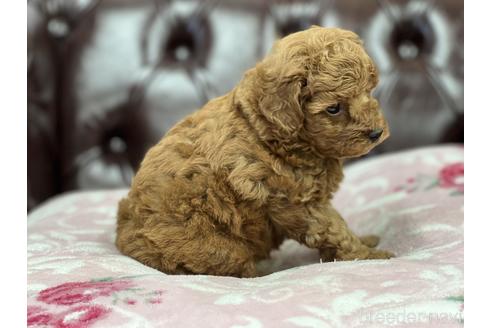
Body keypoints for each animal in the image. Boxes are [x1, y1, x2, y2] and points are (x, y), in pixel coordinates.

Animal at [114, 26, 392, 276]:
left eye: (368, 92)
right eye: (333, 108)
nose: (377, 132)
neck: (267, 131)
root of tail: (126, 237)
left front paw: (364, 242)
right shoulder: (297, 203)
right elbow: (335, 229)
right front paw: (370, 255)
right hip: (219, 248)